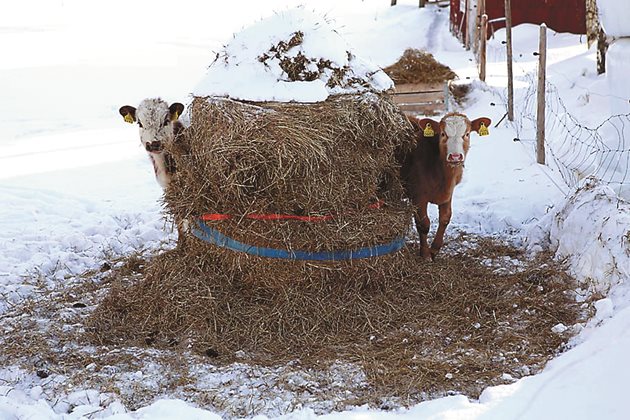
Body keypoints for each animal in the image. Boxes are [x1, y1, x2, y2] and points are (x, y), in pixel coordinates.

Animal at [402, 113, 492, 260]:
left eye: (467, 134)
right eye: (443, 134)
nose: (455, 157)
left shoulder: (448, 192)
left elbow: (445, 218)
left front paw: (434, 249)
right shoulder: (418, 196)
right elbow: (423, 224)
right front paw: (425, 254)